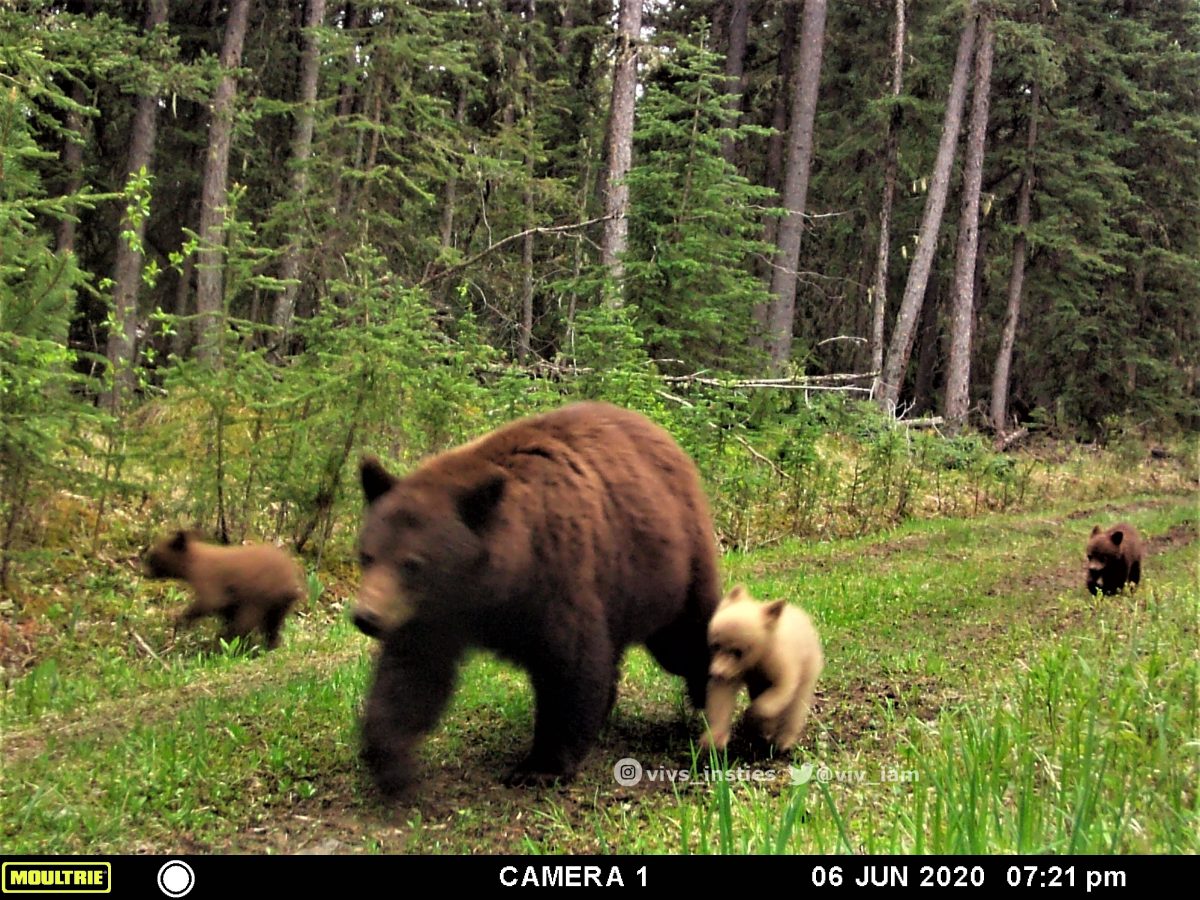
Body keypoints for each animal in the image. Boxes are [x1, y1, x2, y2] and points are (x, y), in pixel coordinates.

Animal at [143, 530, 304, 649]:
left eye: (152, 556)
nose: (144, 573)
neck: (193, 562)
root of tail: (291, 583)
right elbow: (227, 609)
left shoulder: (207, 577)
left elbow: (212, 601)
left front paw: (181, 620)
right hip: (279, 604)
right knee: (272, 626)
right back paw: (270, 646)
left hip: (260, 597)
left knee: (245, 623)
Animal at [352, 401, 722, 795]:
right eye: (366, 555)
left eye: (413, 563)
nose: (366, 617)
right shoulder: (433, 614)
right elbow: (411, 674)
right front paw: (390, 761)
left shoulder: (557, 576)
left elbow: (569, 666)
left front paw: (540, 766)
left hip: (670, 567)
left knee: (687, 641)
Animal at [699, 585, 823, 755]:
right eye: (715, 645)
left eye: (738, 652)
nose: (716, 672)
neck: (757, 659)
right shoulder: (734, 671)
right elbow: (721, 696)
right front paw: (714, 739)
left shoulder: (781, 663)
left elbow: (781, 690)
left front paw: (753, 716)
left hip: (808, 666)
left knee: (795, 707)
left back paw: (783, 740)